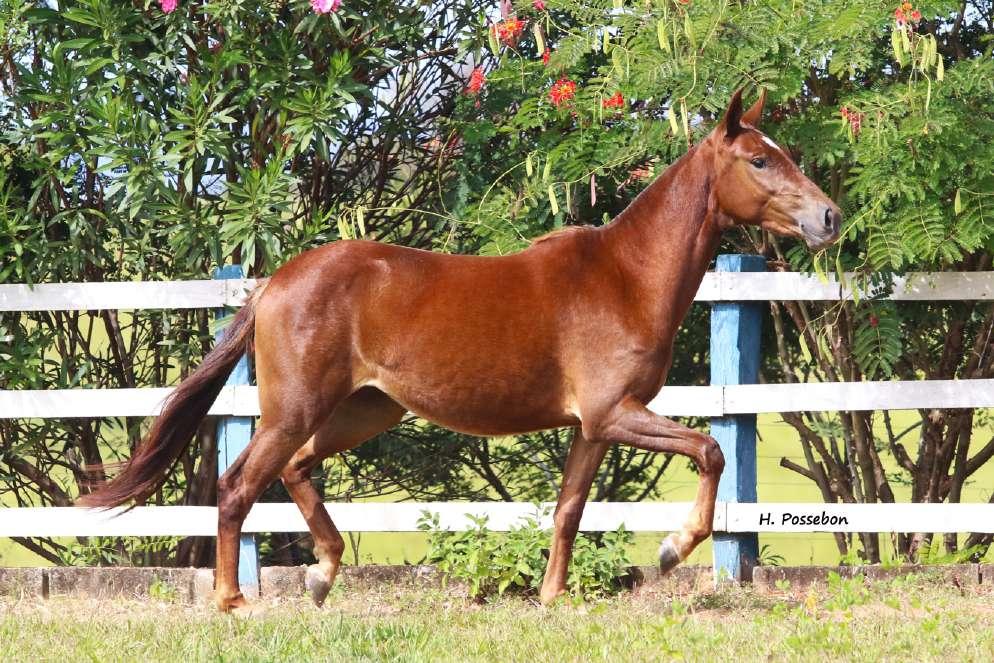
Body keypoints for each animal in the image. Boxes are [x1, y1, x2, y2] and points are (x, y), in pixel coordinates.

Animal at [79, 88, 836, 612]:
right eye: (759, 159)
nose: (827, 218)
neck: (624, 276)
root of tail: (275, 283)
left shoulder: (593, 426)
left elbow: (569, 509)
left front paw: (551, 597)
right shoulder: (615, 413)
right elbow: (711, 451)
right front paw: (673, 549)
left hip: (363, 410)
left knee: (294, 470)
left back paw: (323, 574)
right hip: (296, 410)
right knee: (239, 486)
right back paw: (234, 600)